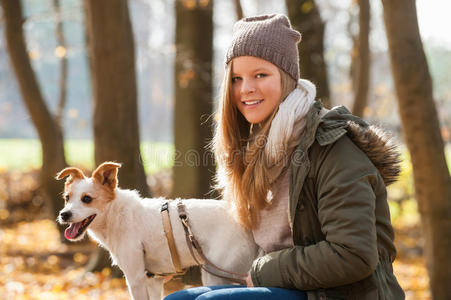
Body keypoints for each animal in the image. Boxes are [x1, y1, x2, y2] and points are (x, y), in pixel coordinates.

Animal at [55, 163, 258, 298]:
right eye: (67, 198)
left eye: (87, 199)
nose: (64, 215)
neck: (117, 213)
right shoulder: (153, 280)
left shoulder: (136, 279)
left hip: (217, 275)